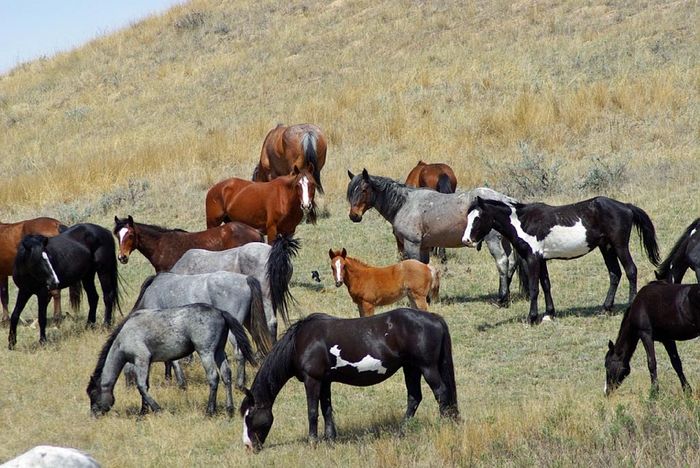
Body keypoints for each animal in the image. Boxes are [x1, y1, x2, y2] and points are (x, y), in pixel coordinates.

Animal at [87, 303, 255, 417]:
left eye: (93, 394)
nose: (94, 414)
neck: (124, 336)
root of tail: (220, 312)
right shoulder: (146, 363)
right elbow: (145, 386)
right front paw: (143, 411)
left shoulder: (141, 360)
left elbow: (141, 386)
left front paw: (157, 409)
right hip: (219, 352)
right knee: (226, 375)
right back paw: (229, 409)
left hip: (206, 352)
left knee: (213, 377)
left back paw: (209, 411)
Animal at [239, 308, 459, 451]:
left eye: (249, 417)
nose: (248, 446)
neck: (302, 341)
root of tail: (433, 318)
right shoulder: (325, 381)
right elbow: (326, 409)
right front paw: (330, 440)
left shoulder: (313, 380)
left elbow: (312, 412)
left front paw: (313, 442)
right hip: (411, 368)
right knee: (414, 398)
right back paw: (401, 432)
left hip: (427, 367)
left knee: (441, 393)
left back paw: (443, 427)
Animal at [346, 168, 526, 307]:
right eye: (351, 191)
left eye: (363, 190)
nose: (354, 216)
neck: (405, 204)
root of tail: (507, 200)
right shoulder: (425, 246)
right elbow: (425, 267)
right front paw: (426, 298)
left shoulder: (412, 244)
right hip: (505, 241)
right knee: (511, 263)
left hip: (493, 241)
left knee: (502, 263)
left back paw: (502, 299)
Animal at [462, 196, 661, 324]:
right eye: (468, 218)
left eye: (478, 218)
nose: (466, 240)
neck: (522, 222)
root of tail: (626, 206)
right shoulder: (541, 259)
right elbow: (546, 285)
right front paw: (549, 314)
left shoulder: (532, 259)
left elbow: (534, 288)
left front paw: (532, 318)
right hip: (606, 247)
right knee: (615, 274)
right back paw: (605, 309)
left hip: (619, 245)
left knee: (631, 271)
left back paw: (628, 306)